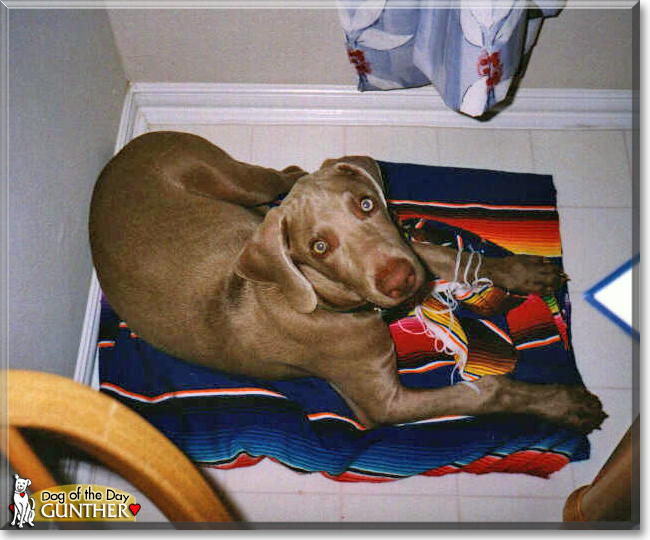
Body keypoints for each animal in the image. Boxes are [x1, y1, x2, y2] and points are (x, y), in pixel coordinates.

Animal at [90, 132, 604, 434]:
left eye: (365, 204)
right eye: (319, 246)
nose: (399, 280)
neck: (322, 300)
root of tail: (116, 158)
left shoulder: (406, 249)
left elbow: (445, 254)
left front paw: (524, 271)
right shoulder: (385, 404)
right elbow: (485, 391)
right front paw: (564, 405)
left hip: (242, 183)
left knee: (287, 178)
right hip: (232, 176)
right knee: (281, 181)